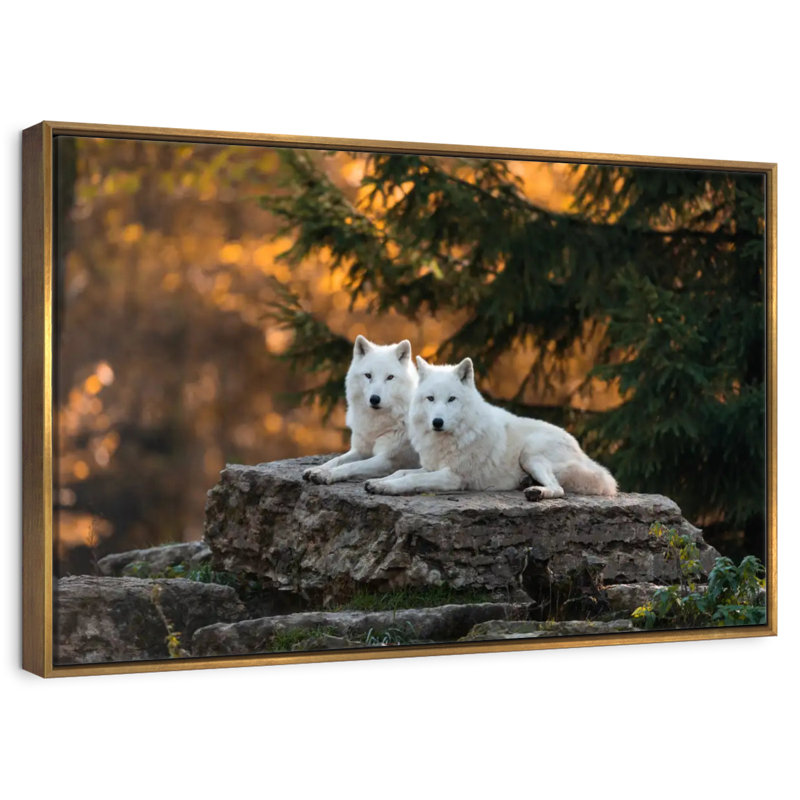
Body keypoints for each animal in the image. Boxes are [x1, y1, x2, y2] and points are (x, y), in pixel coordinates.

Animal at [303, 335, 420, 485]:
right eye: (368, 375)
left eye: (390, 377)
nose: (374, 399)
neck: (376, 424)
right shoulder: (360, 450)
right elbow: (337, 459)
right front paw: (318, 469)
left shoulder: (387, 459)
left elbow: (351, 465)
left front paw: (327, 474)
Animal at [364, 355, 617, 500]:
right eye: (431, 399)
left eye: (451, 399)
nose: (437, 422)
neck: (454, 436)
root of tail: (580, 450)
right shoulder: (429, 467)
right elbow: (401, 472)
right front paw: (379, 482)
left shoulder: (453, 477)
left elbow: (410, 480)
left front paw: (387, 488)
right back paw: (528, 484)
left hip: (530, 454)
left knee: (559, 489)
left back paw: (536, 492)